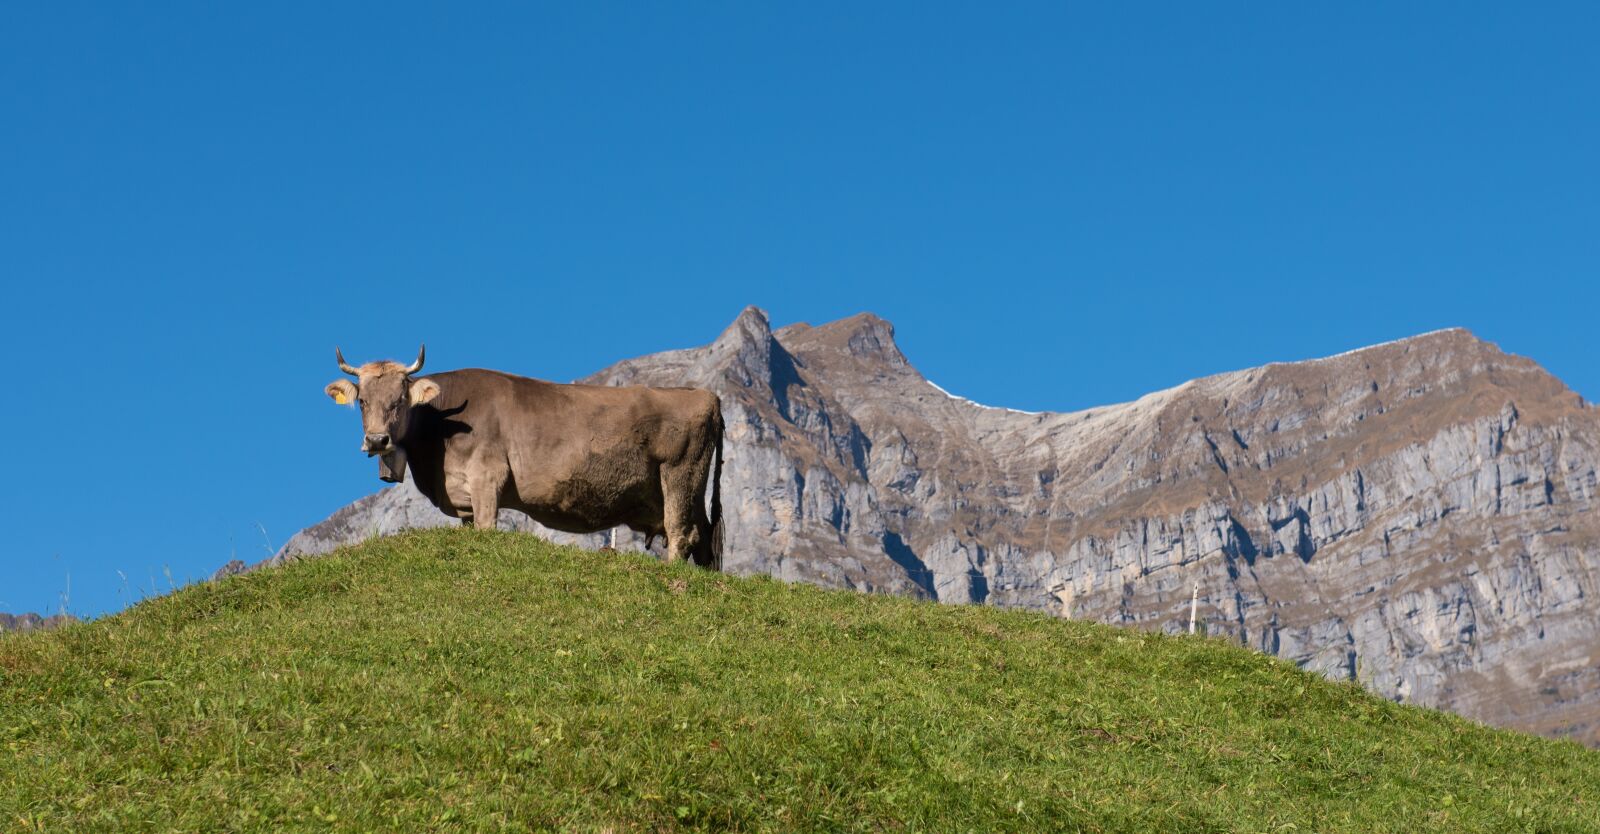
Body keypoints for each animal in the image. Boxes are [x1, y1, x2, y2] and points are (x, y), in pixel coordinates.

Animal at [324, 345, 724, 568]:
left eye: (400, 400)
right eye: (363, 401)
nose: (377, 440)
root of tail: (706, 396)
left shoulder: (487, 477)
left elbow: (487, 527)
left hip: (679, 474)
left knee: (682, 532)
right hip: (690, 488)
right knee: (704, 536)